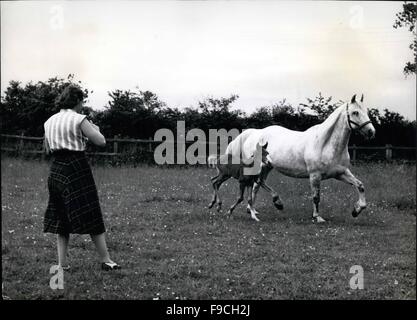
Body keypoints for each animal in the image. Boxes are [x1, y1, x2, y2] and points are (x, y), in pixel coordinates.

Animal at [226, 94, 376, 221]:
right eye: (355, 112)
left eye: (366, 111)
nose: (371, 132)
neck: (326, 143)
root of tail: (253, 133)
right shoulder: (315, 175)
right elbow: (316, 197)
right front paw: (317, 217)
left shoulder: (340, 173)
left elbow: (360, 185)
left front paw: (356, 210)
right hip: (259, 167)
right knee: (257, 183)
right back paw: (273, 203)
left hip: (267, 167)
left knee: (257, 184)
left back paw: (254, 209)